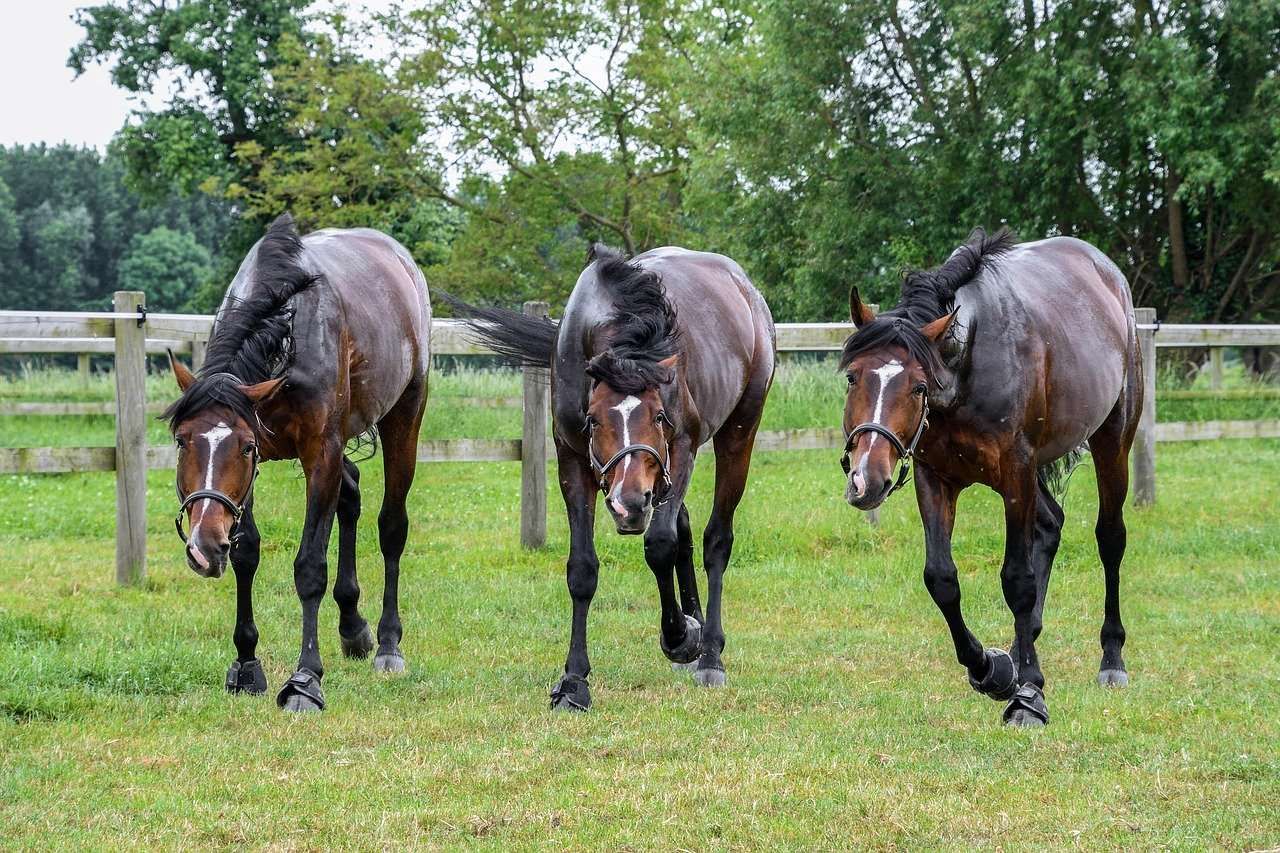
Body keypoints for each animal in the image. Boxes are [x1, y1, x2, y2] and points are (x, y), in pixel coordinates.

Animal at [164, 214, 431, 712]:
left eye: (245, 447)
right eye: (181, 441)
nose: (203, 546)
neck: (285, 329)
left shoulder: (320, 454)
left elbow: (309, 567)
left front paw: (305, 680)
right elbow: (246, 553)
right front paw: (247, 663)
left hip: (404, 416)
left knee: (391, 526)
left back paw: (387, 644)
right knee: (351, 494)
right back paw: (353, 626)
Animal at [448, 244, 775, 710]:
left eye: (658, 416)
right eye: (593, 420)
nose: (629, 503)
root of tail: (744, 287)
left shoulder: (681, 449)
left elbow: (660, 546)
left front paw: (679, 639)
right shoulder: (573, 461)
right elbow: (582, 569)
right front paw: (573, 683)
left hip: (738, 434)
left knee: (716, 539)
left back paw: (709, 652)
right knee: (684, 526)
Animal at [838, 228, 1141, 727]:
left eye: (918, 387)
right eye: (852, 378)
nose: (868, 478)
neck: (968, 367)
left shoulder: (1016, 472)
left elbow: (1017, 580)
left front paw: (1029, 695)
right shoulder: (935, 478)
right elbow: (941, 579)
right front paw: (992, 670)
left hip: (1112, 440)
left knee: (1110, 539)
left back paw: (1111, 659)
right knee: (1051, 525)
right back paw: (1021, 652)